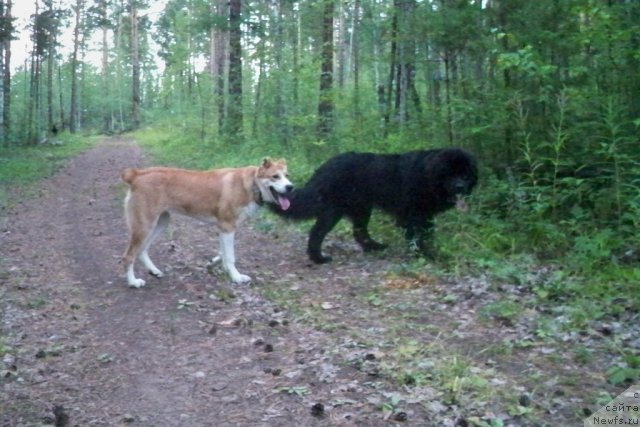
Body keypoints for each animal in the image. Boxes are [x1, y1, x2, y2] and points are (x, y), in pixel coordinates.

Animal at [121, 157, 294, 288]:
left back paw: (154, 271)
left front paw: (213, 264)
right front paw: (236, 277)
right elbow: (230, 257)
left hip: (160, 223)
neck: (251, 184)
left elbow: (223, 253)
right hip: (144, 225)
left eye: (287, 175)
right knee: (128, 255)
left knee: (142, 250)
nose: (290, 187)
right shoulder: (227, 226)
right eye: (275, 176)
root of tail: (137, 175)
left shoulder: (223, 229)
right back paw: (133, 282)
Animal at [268, 148, 478, 264]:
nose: (460, 186)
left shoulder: (426, 216)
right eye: (450, 173)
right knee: (317, 232)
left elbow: (426, 235)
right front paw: (425, 254)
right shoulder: (413, 214)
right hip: (334, 209)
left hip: (362, 208)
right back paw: (318, 258)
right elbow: (416, 237)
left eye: (465, 174)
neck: (427, 176)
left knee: (359, 231)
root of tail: (324, 167)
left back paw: (374, 246)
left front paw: (429, 252)